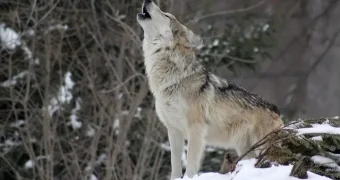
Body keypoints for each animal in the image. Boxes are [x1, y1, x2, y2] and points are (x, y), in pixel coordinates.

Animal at [137, 0, 282, 179]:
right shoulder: (174, 130)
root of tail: (275, 109)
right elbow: (175, 165)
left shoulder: (195, 129)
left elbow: (191, 164)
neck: (173, 79)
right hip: (246, 150)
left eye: (166, 15)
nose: (147, 1)